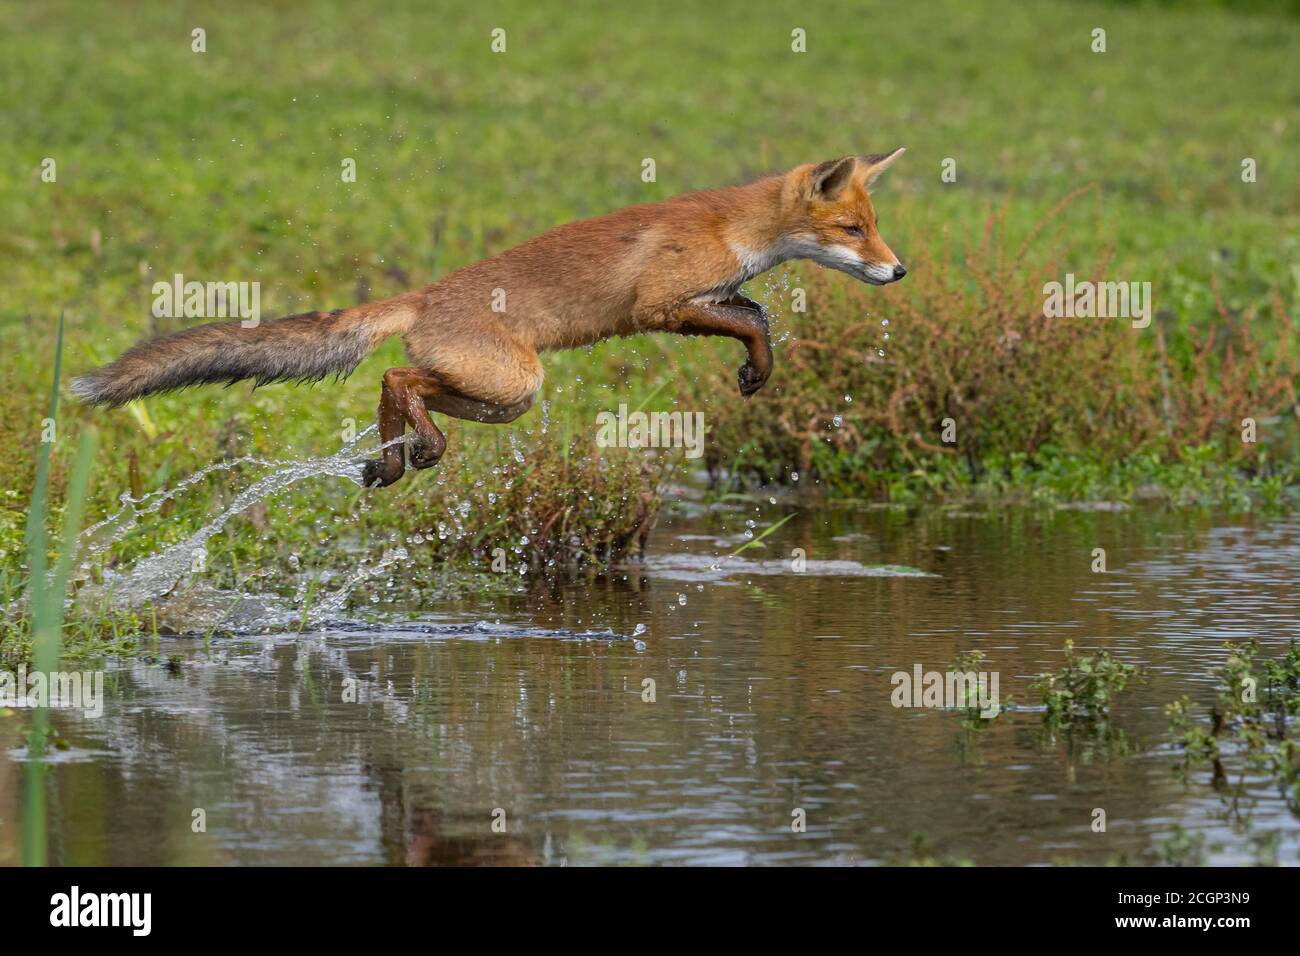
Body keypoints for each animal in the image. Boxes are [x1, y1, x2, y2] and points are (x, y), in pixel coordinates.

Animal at [71, 152, 904, 489]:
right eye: (853, 231)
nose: (899, 271)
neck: (734, 227)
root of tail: (423, 294)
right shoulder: (661, 305)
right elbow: (754, 319)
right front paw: (756, 367)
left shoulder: (705, 299)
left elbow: (757, 311)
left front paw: (759, 369)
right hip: (516, 382)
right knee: (395, 374)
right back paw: (416, 449)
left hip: (504, 399)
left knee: (398, 385)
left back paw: (390, 461)